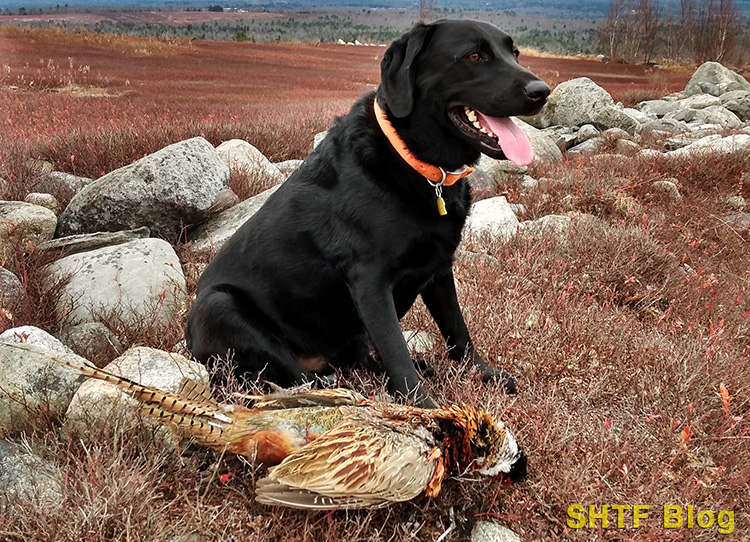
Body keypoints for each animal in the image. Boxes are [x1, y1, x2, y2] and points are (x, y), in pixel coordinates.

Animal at [187, 19, 552, 408]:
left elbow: (458, 331)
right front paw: (426, 409)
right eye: (474, 56)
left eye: (514, 53)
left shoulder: (439, 269)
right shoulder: (371, 283)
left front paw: (483, 374)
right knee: (303, 378)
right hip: (219, 305)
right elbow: (397, 353)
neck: (418, 164)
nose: (541, 91)